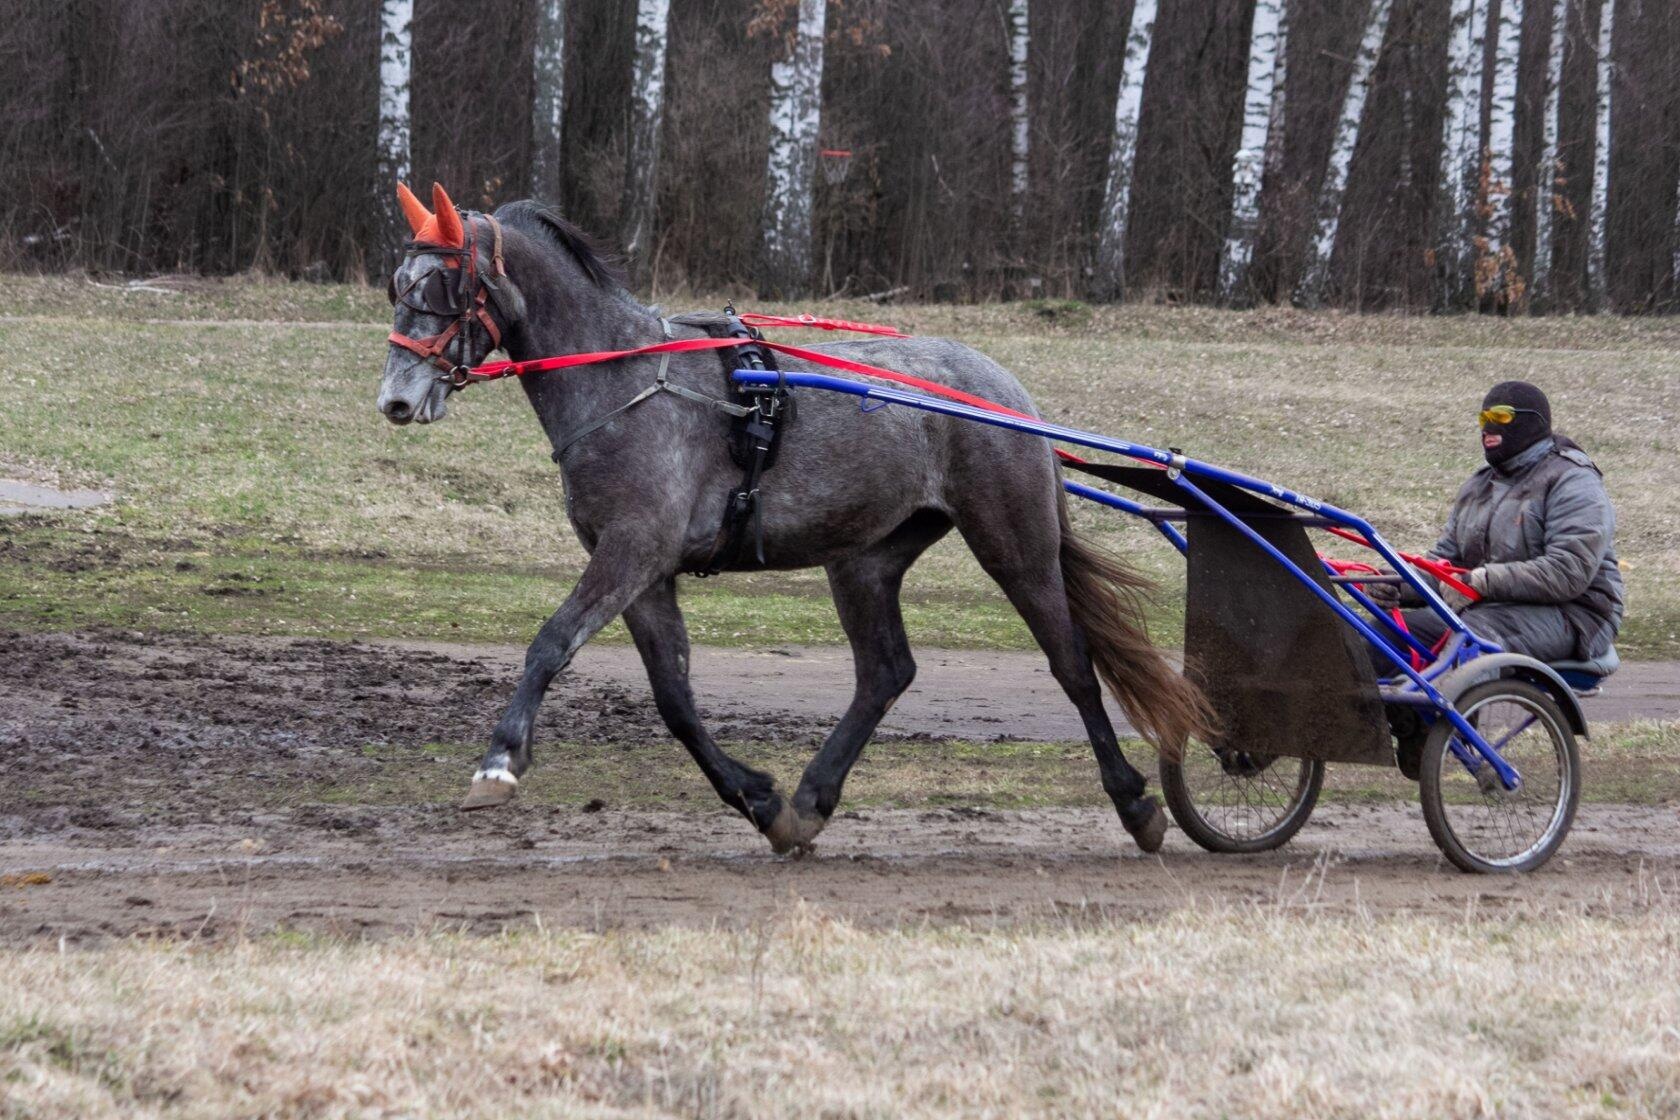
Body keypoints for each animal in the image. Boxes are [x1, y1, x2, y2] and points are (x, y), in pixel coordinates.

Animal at [379, 183, 1209, 853]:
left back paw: (1137, 805)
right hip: (864, 558)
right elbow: (675, 700)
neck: (626, 376)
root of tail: (1005, 390)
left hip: (1014, 543)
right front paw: (762, 800)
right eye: (396, 283)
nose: (395, 399)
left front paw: (498, 761)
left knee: (1071, 663)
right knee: (886, 672)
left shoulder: (633, 549)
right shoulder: (644, 572)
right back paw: (813, 797)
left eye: (445, 284)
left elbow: (551, 645)